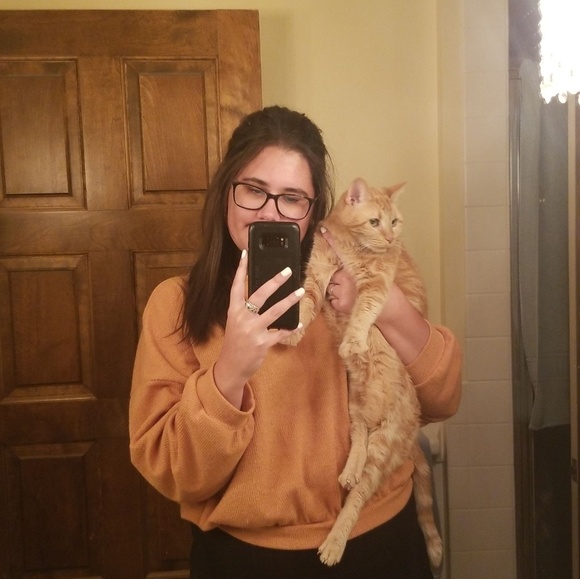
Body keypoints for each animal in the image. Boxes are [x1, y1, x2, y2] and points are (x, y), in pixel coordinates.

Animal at [284, 177, 443, 569]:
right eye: (374, 221)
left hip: (383, 445)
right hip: (355, 400)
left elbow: (362, 313)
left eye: (394, 222)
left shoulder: (375, 288)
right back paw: (350, 469)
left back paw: (333, 544)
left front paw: (354, 340)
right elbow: (305, 304)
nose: (389, 238)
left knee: (357, 498)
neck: (351, 247)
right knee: (359, 436)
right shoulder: (316, 276)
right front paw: (295, 330)